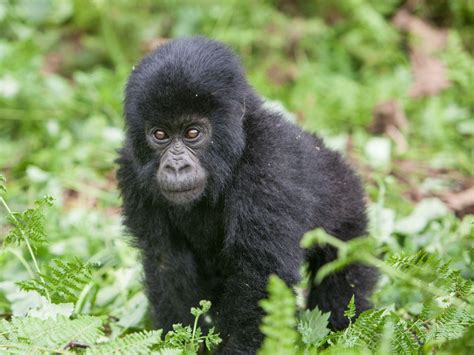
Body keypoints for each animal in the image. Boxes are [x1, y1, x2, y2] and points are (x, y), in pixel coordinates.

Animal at [116, 37, 376, 354]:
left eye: (192, 133)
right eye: (160, 135)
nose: (176, 166)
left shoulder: (269, 162)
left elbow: (260, 279)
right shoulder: (131, 169)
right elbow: (166, 262)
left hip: (351, 217)